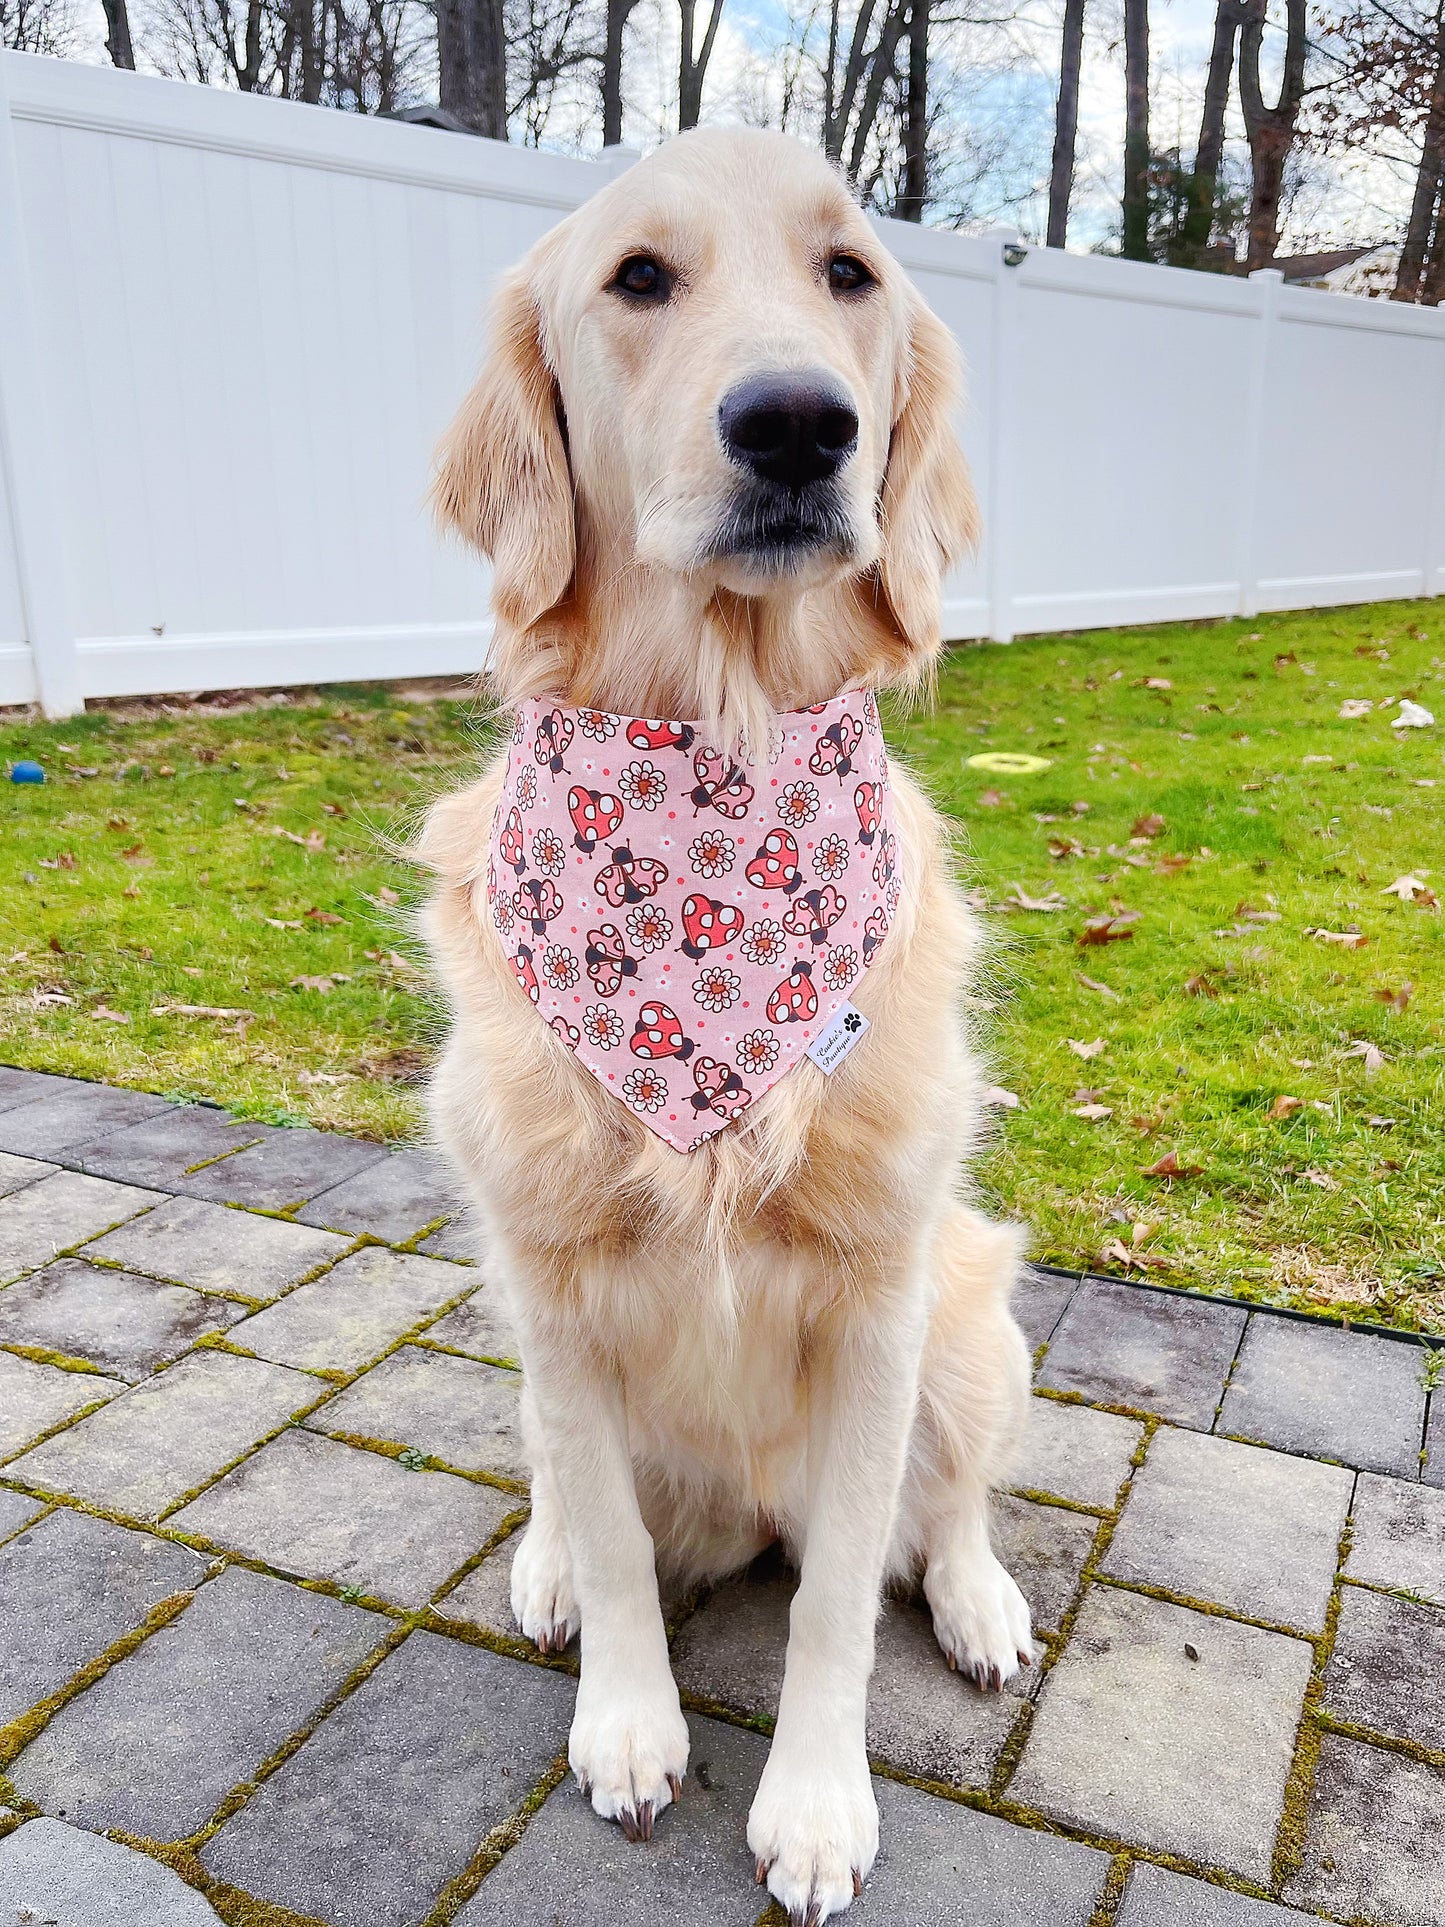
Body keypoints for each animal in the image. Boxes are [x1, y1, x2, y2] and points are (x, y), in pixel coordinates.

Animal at [418, 128, 1040, 1919]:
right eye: (638, 277)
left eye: (851, 275)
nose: (796, 423)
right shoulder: (552, 1282)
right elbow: (620, 1543)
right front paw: (627, 1725)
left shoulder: (880, 1295)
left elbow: (838, 1598)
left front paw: (817, 1805)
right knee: (567, 1494)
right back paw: (547, 1562)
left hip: (973, 1319)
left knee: (949, 1503)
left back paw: (980, 1602)